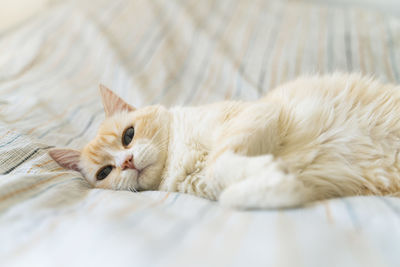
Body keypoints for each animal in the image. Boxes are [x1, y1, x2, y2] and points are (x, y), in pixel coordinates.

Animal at [48, 73, 400, 209]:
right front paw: (281, 183)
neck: (177, 158)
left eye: (128, 136)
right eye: (105, 173)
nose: (127, 161)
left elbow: (220, 165)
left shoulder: (261, 113)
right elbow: (233, 196)